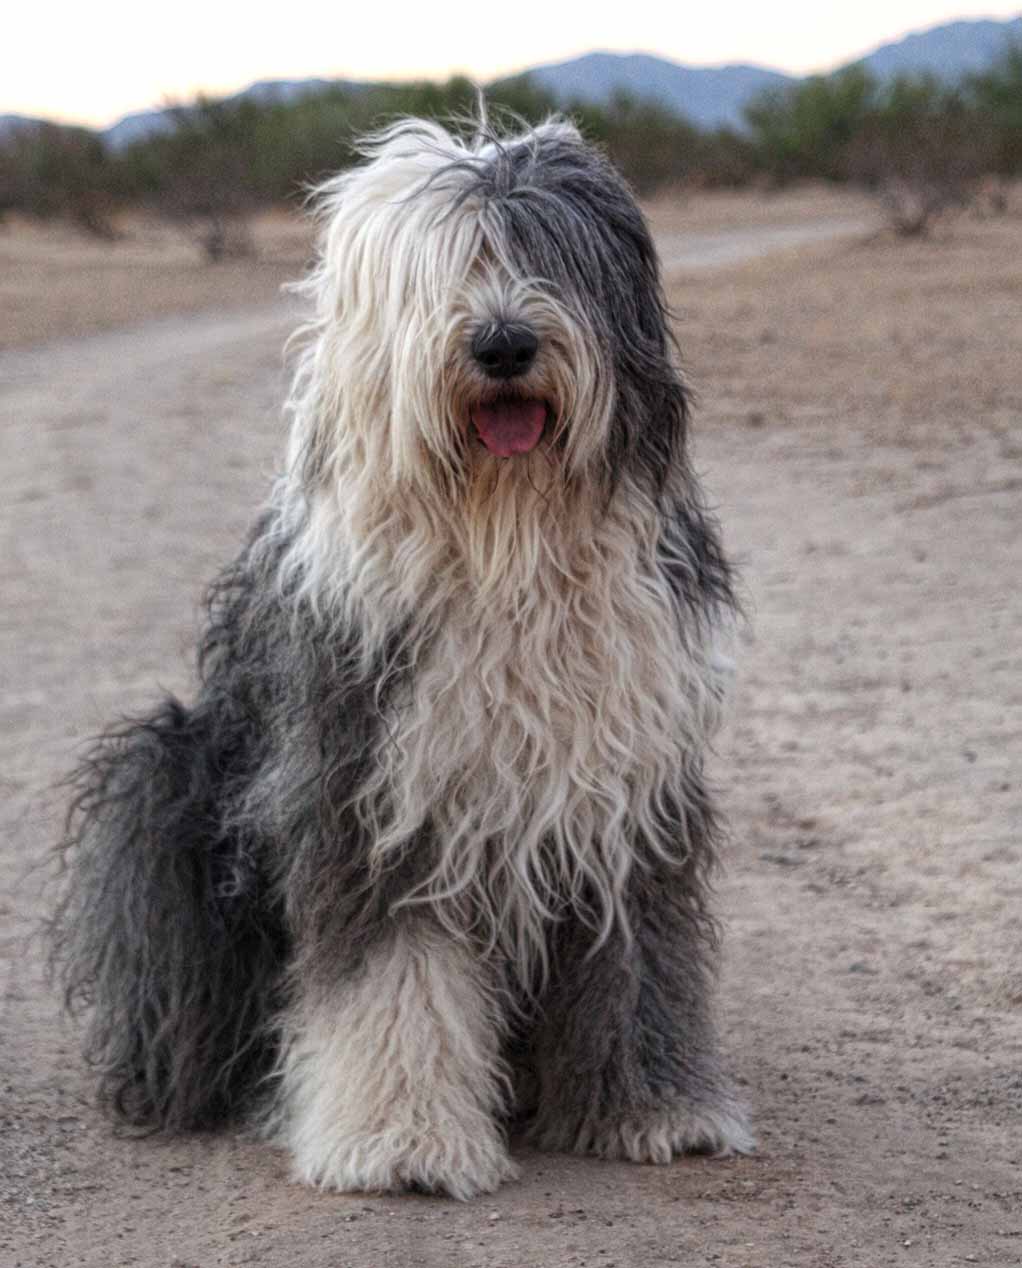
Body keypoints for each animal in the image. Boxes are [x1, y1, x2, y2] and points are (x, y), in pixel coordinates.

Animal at [51, 116, 755, 1196]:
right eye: (446, 270)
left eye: (544, 253)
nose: (503, 343)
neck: (506, 539)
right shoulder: (374, 786)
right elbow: (394, 973)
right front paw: (402, 1141)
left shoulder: (624, 786)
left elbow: (640, 952)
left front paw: (652, 1108)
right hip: (167, 776)